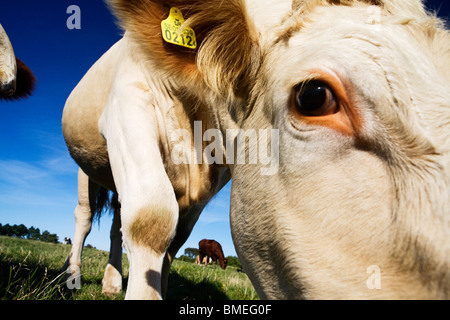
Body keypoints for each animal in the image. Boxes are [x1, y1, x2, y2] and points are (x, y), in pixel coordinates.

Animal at [62, 0, 450, 300]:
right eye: (314, 97)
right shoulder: (128, 108)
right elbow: (152, 221)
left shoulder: (216, 171)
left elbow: (175, 242)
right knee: (84, 218)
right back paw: (73, 275)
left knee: (116, 225)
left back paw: (112, 282)